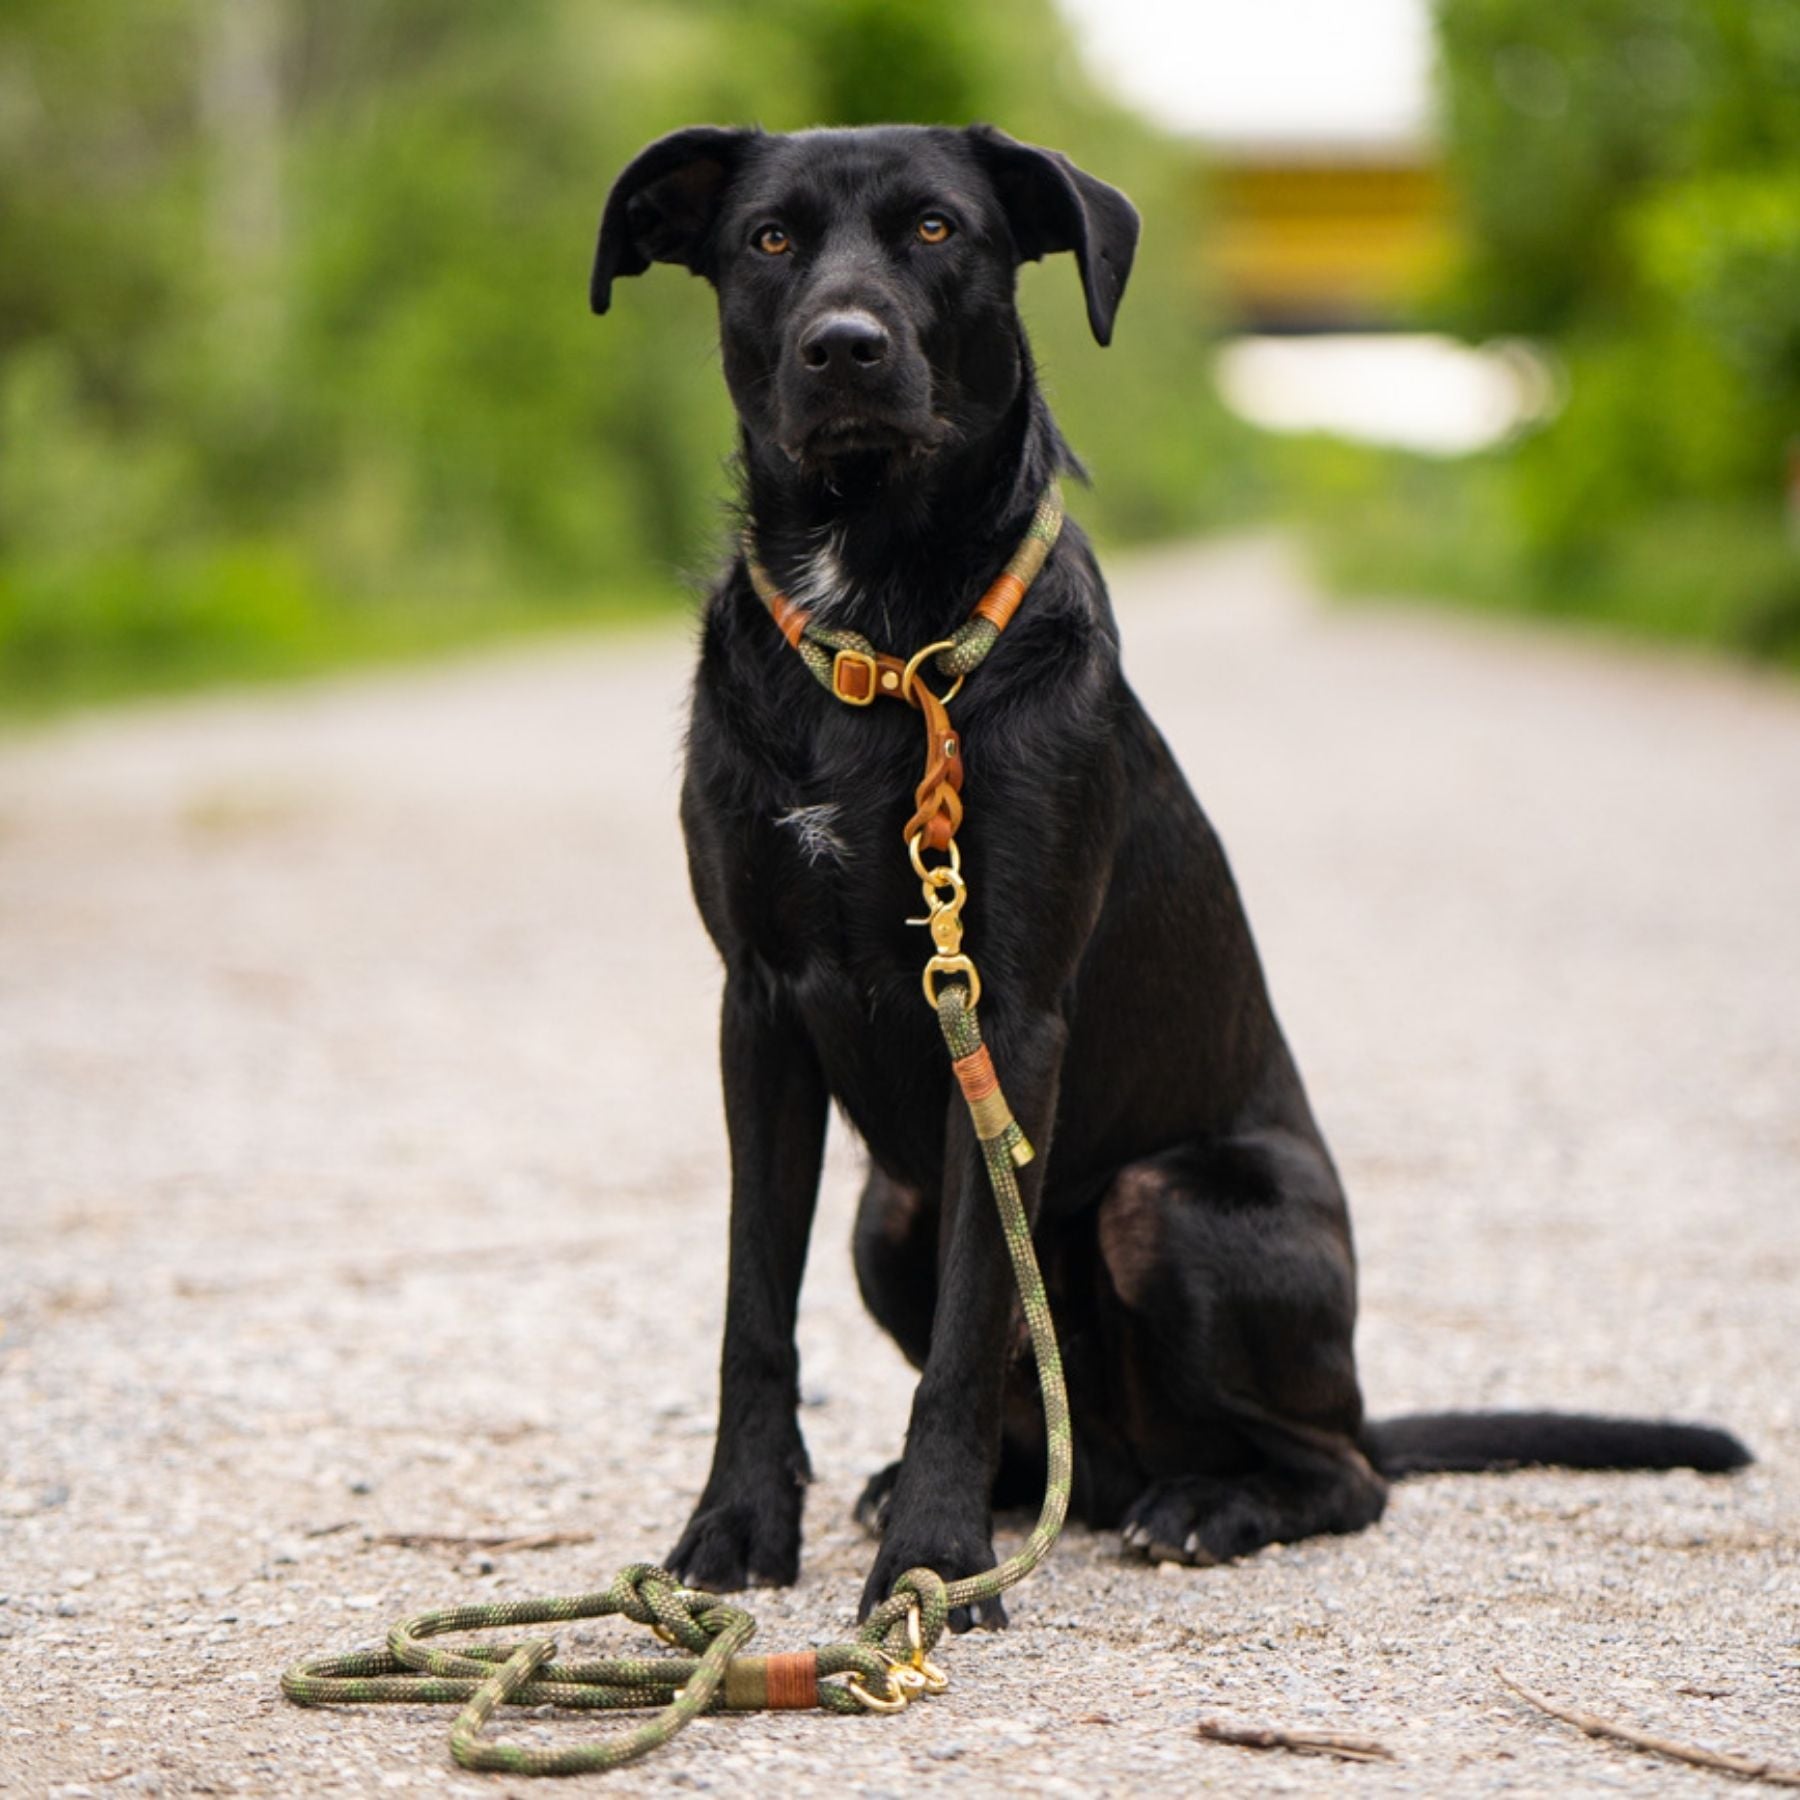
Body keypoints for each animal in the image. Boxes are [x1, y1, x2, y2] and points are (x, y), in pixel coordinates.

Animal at [590, 119, 1742, 1627]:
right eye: (768, 240)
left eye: (938, 230)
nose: (845, 347)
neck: (885, 635)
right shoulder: (759, 1012)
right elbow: (751, 1311)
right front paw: (737, 1524)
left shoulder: (1007, 1017)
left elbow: (973, 1323)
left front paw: (935, 1565)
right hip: (886, 1218)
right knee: (1057, 1431)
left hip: (1169, 1208)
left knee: (1336, 1471)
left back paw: (1203, 1504)